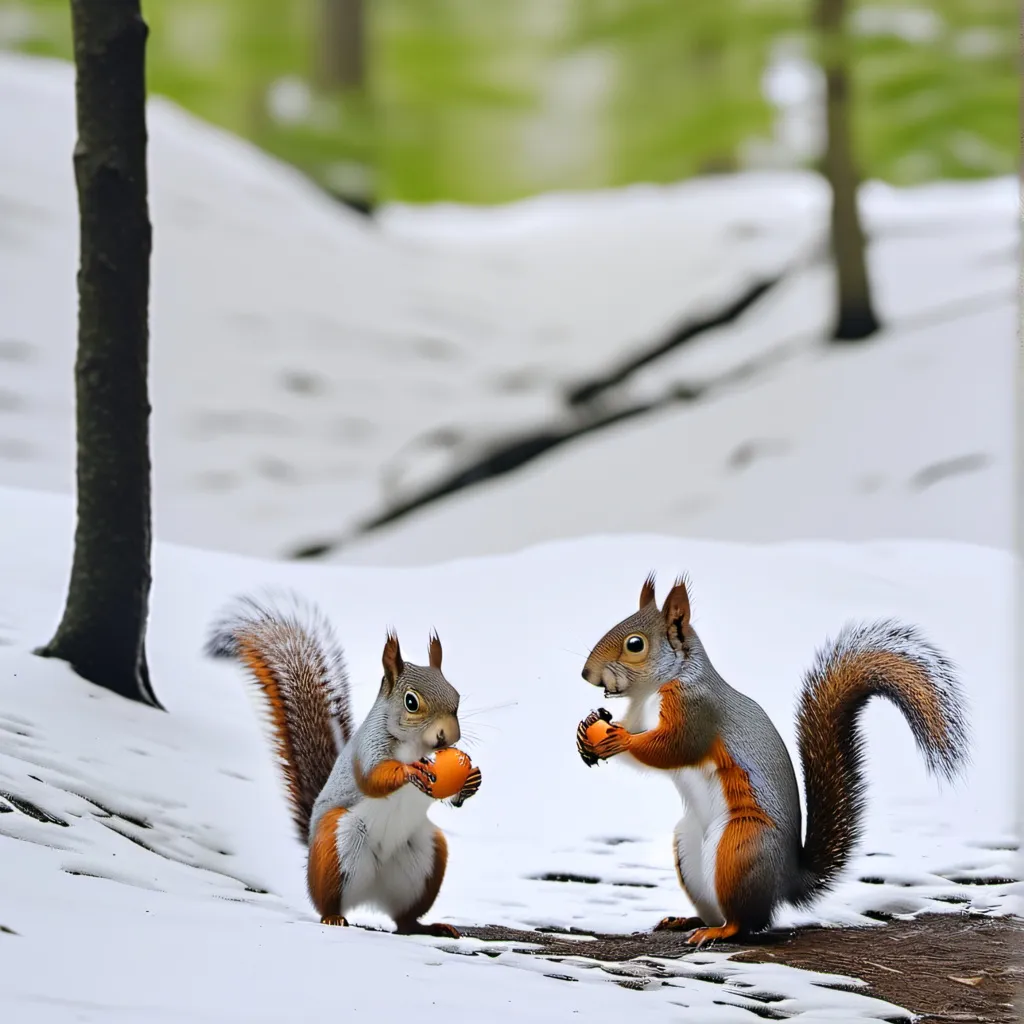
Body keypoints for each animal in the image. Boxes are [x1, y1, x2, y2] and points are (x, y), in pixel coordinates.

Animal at [206, 591, 482, 938]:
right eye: (411, 701)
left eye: (456, 697)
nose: (449, 736)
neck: (415, 746)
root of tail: (373, 895)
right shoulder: (367, 750)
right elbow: (373, 778)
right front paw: (408, 771)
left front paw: (471, 780)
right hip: (337, 845)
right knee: (328, 901)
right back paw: (333, 917)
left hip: (425, 858)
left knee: (404, 920)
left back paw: (428, 927)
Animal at [576, 573, 969, 946]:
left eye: (635, 644)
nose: (586, 675)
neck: (656, 689)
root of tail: (786, 880)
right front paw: (586, 733)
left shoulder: (696, 710)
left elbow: (674, 748)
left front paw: (621, 738)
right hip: (688, 848)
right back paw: (687, 921)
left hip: (741, 847)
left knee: (748, 922)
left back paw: (719, 931)